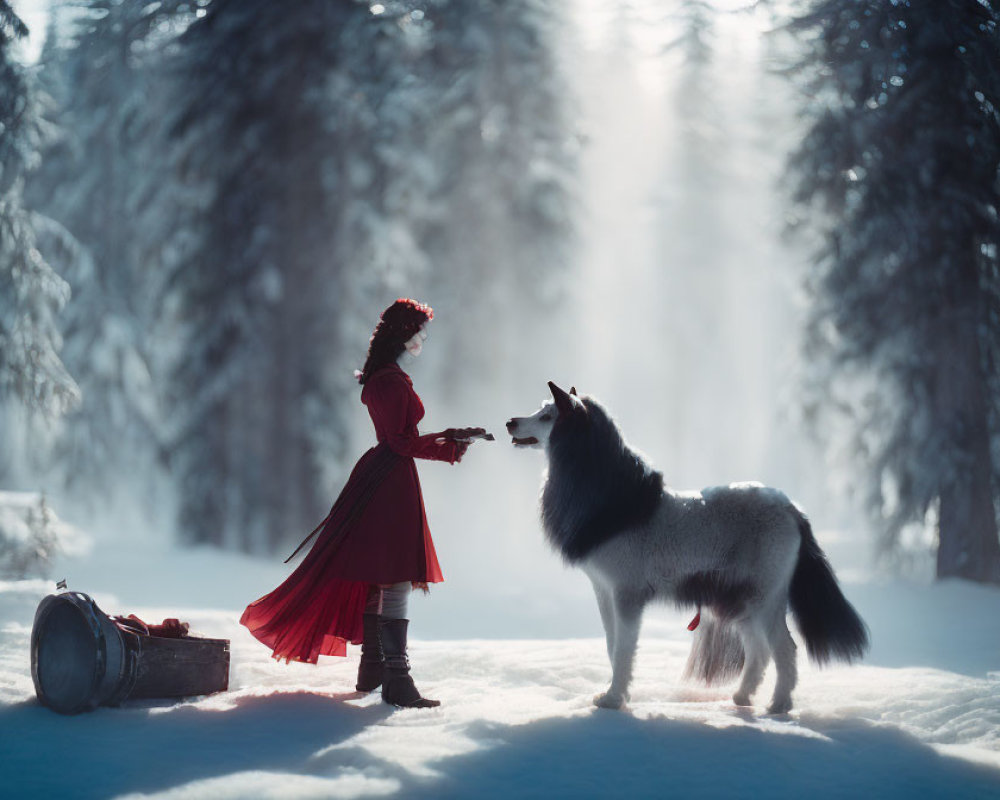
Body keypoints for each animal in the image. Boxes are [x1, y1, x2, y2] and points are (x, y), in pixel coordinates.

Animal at [508, 382, 868, 712]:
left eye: (547, 416)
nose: (510, 422)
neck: (618, 504)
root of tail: (793, 509)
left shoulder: (627, 596)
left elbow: (624, 650)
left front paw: (614, 700)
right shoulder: (604, 592)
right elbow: (612, 646)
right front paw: (614, 695)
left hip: (765, 599)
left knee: (784, 649)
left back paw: (779, 706)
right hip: (742, 601)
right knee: (759, 651)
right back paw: (741, 698)